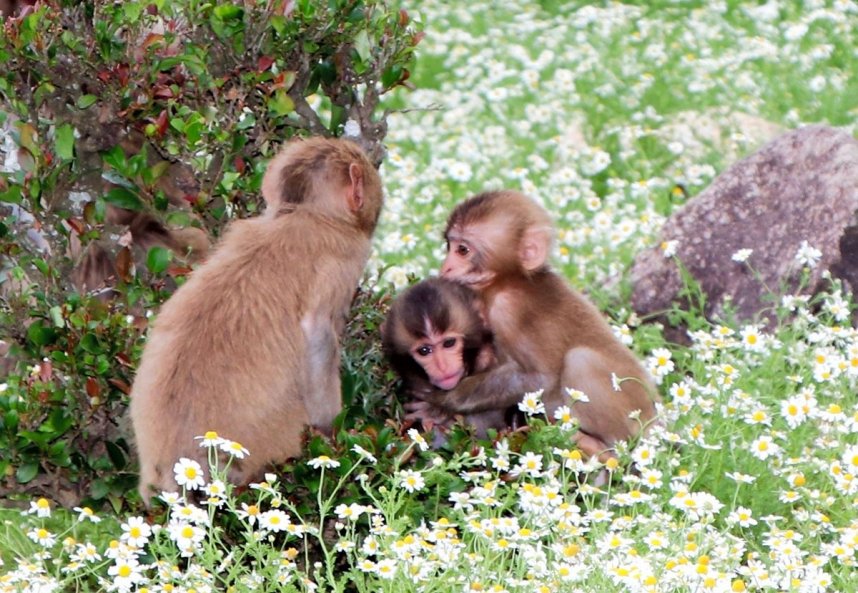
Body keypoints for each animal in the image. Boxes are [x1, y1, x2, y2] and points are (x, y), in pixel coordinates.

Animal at [416, 190, 664, 458]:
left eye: (462, 250)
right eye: (449, 246)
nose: (446, 267)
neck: (509, 282)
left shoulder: (508, 309)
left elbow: (541, 378)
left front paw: (442, 399)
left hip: (633, 412)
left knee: (580, 361)